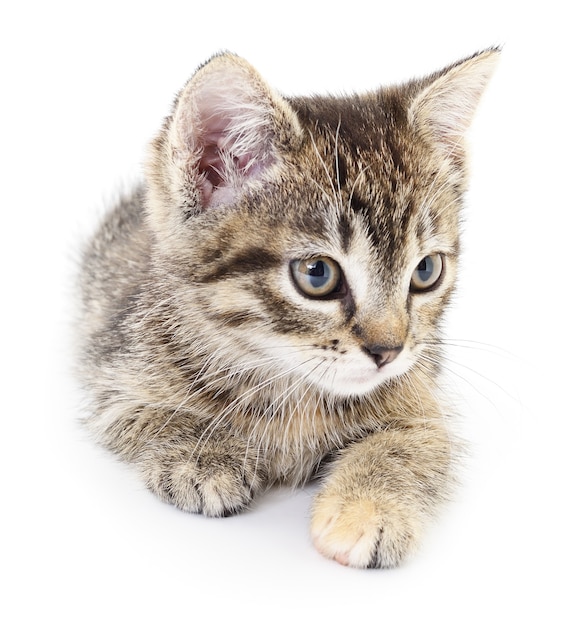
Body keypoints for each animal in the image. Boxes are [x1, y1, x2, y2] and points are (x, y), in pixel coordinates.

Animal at [76, 48, 498, 564]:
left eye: (426, 271)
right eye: (317, 274)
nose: (388, 351)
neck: (287, 385)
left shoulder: (421, 395)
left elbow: (414, 444)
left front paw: (368, 510)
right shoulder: (112, 374)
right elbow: (149, 414)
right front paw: (204, 457)